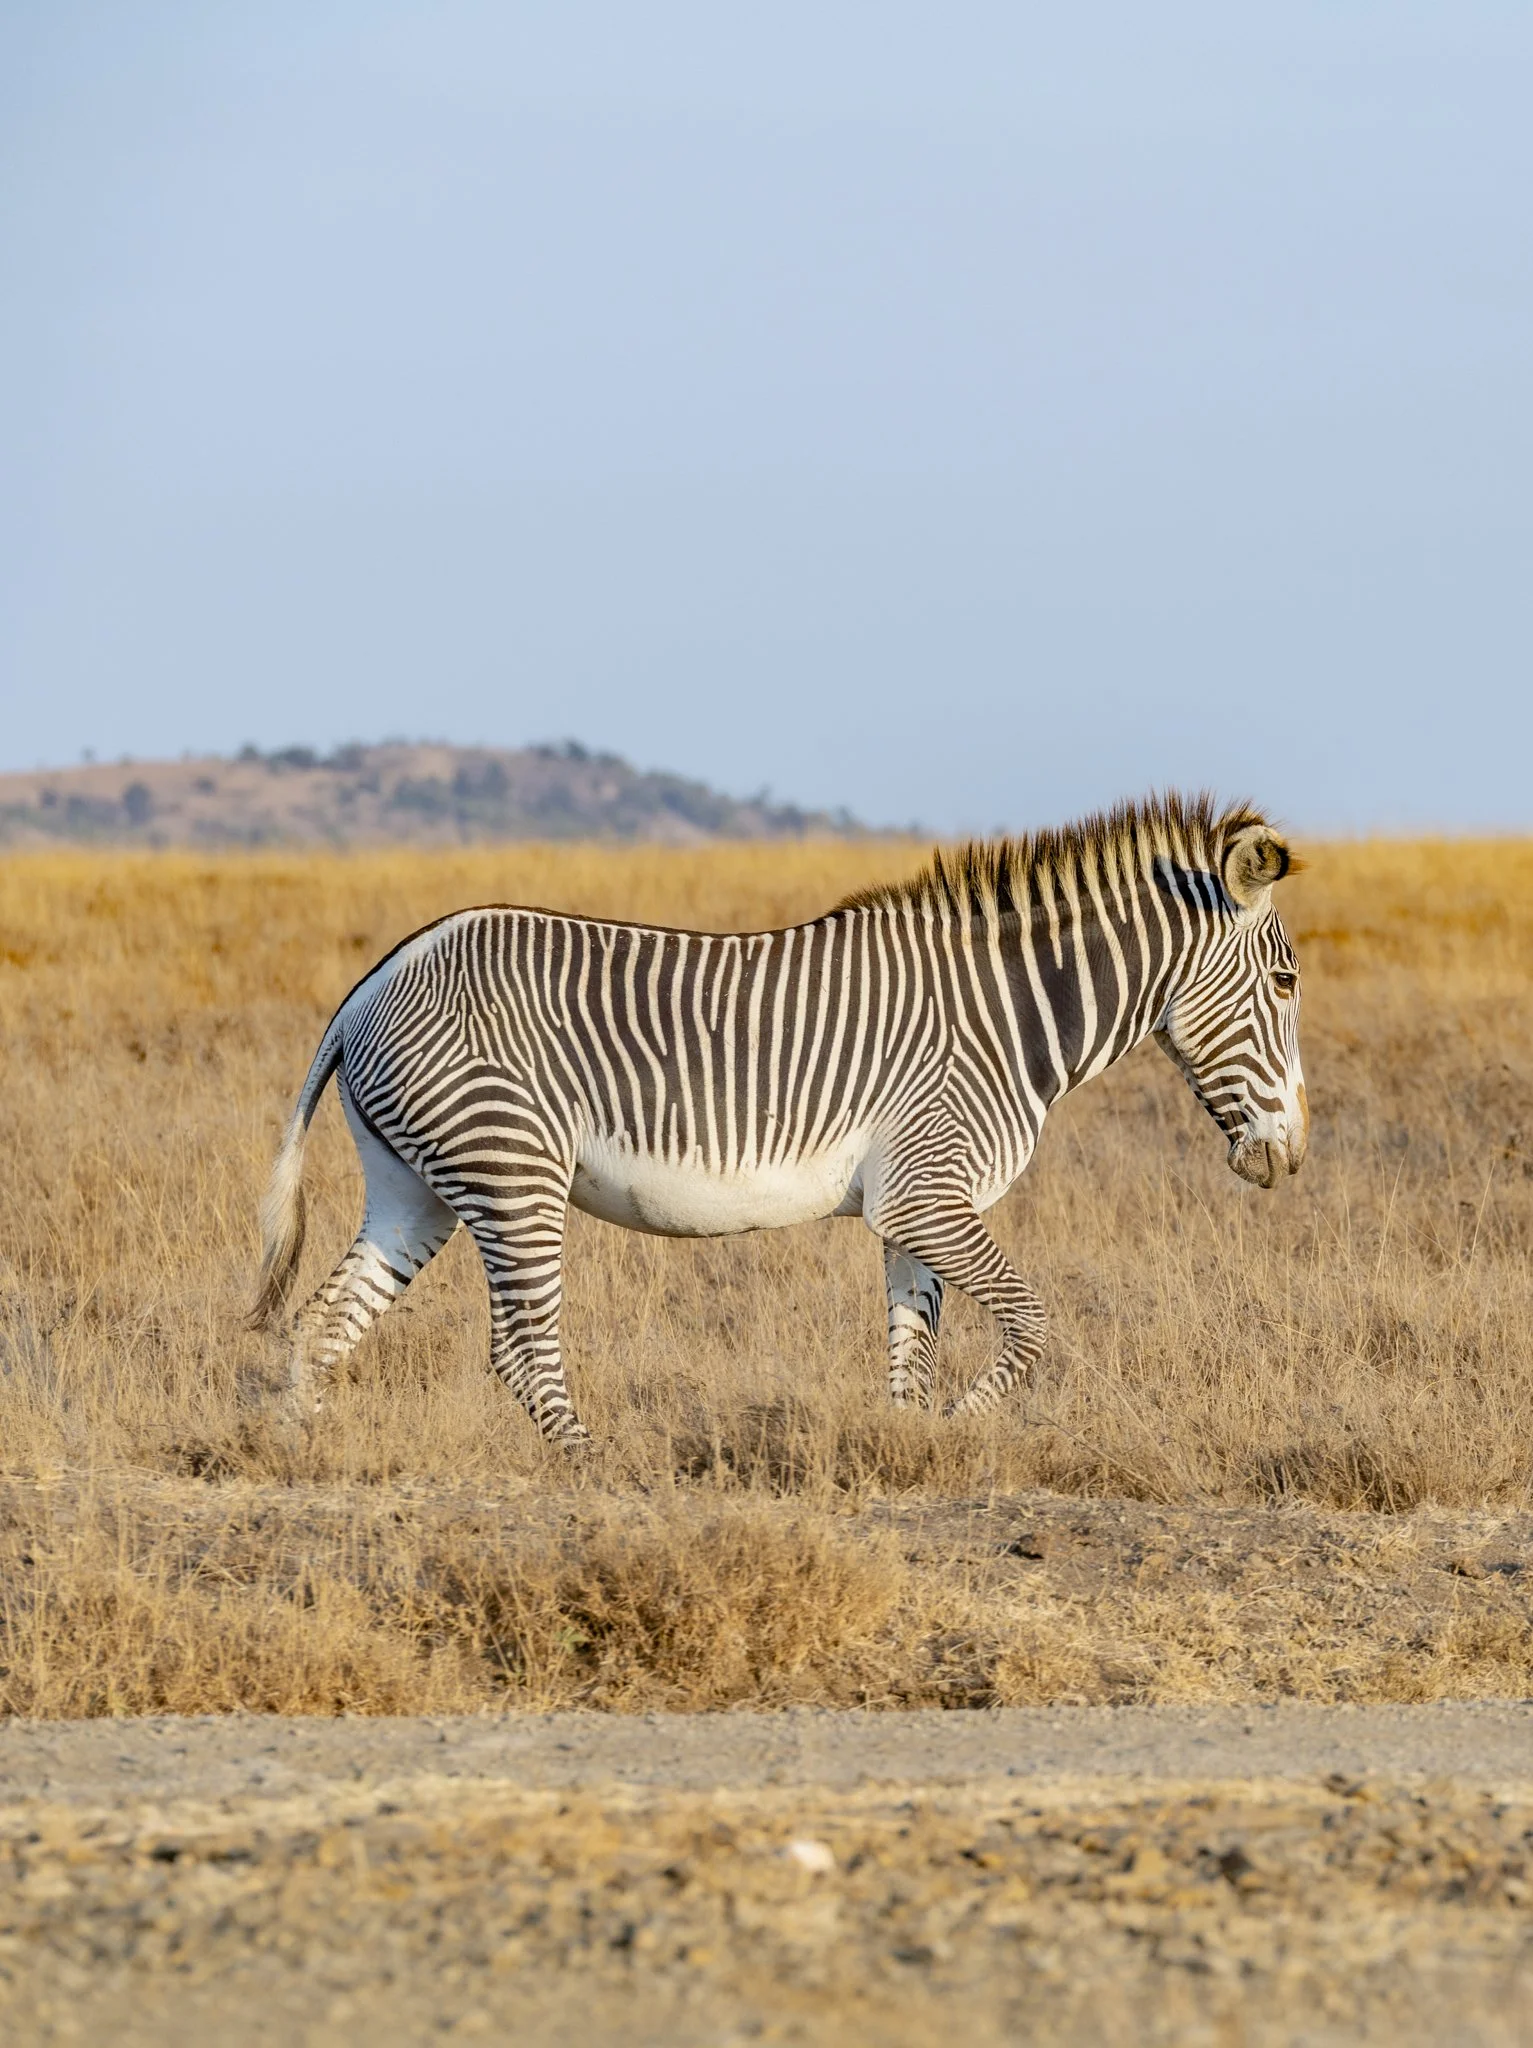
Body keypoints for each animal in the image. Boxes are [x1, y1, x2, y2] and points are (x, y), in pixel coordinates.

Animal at [249, 793, 1307, 1441]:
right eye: (1288, 982)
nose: (1291, 1160)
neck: (1007, 1015)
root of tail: (375, 982)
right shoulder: (928, 1191)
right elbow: (1030, 1323)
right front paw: (965, 1429)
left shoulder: (915, 1201)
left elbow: (911, 1345)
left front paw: (909, 1448)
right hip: (512, 1170)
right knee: (518, 1349)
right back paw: (595, 1471)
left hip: (416, 1188)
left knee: (324, 1322)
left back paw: (309, 1457)